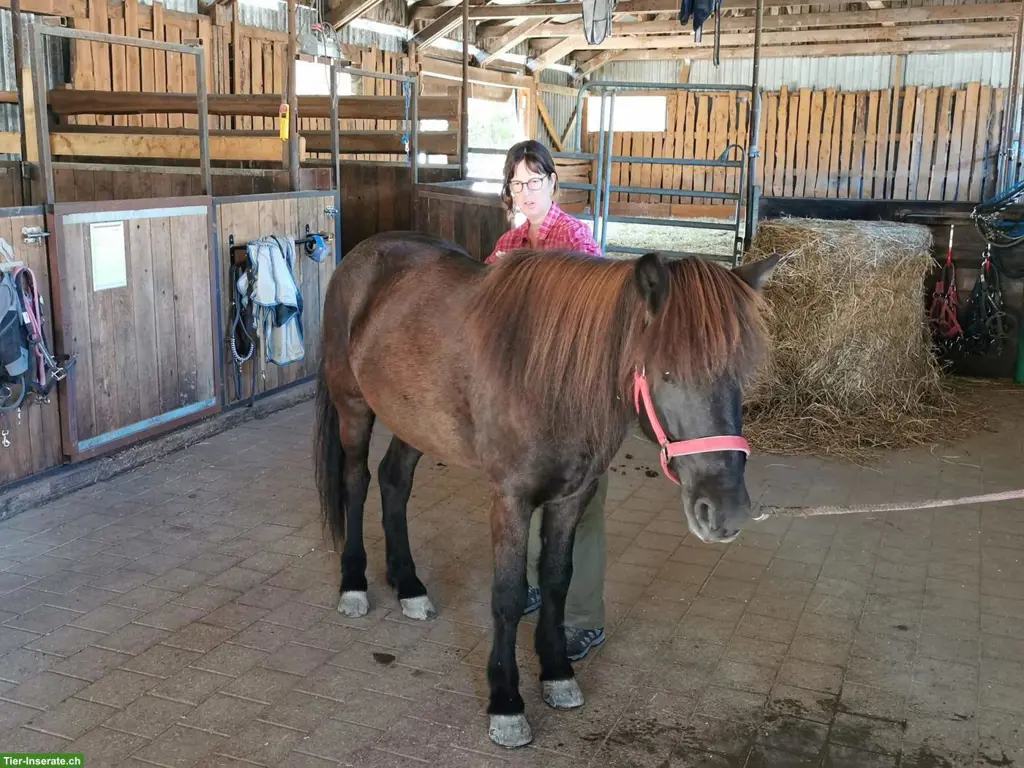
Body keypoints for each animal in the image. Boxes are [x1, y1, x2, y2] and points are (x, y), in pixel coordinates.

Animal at [314, 230, 780, 748]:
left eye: (739, 377)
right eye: (666, 372)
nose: (726, 511)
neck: (544, 379)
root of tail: (367, 252)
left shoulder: (572, 497)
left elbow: (557, 581)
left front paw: (557, 673)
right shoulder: (510, 500)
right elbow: (508, 595)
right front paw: (506, 703)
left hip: (414, 422)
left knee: (394, 481)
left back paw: (409, 585)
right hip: (354, 407)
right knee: (357, 484)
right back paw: (354, 584)